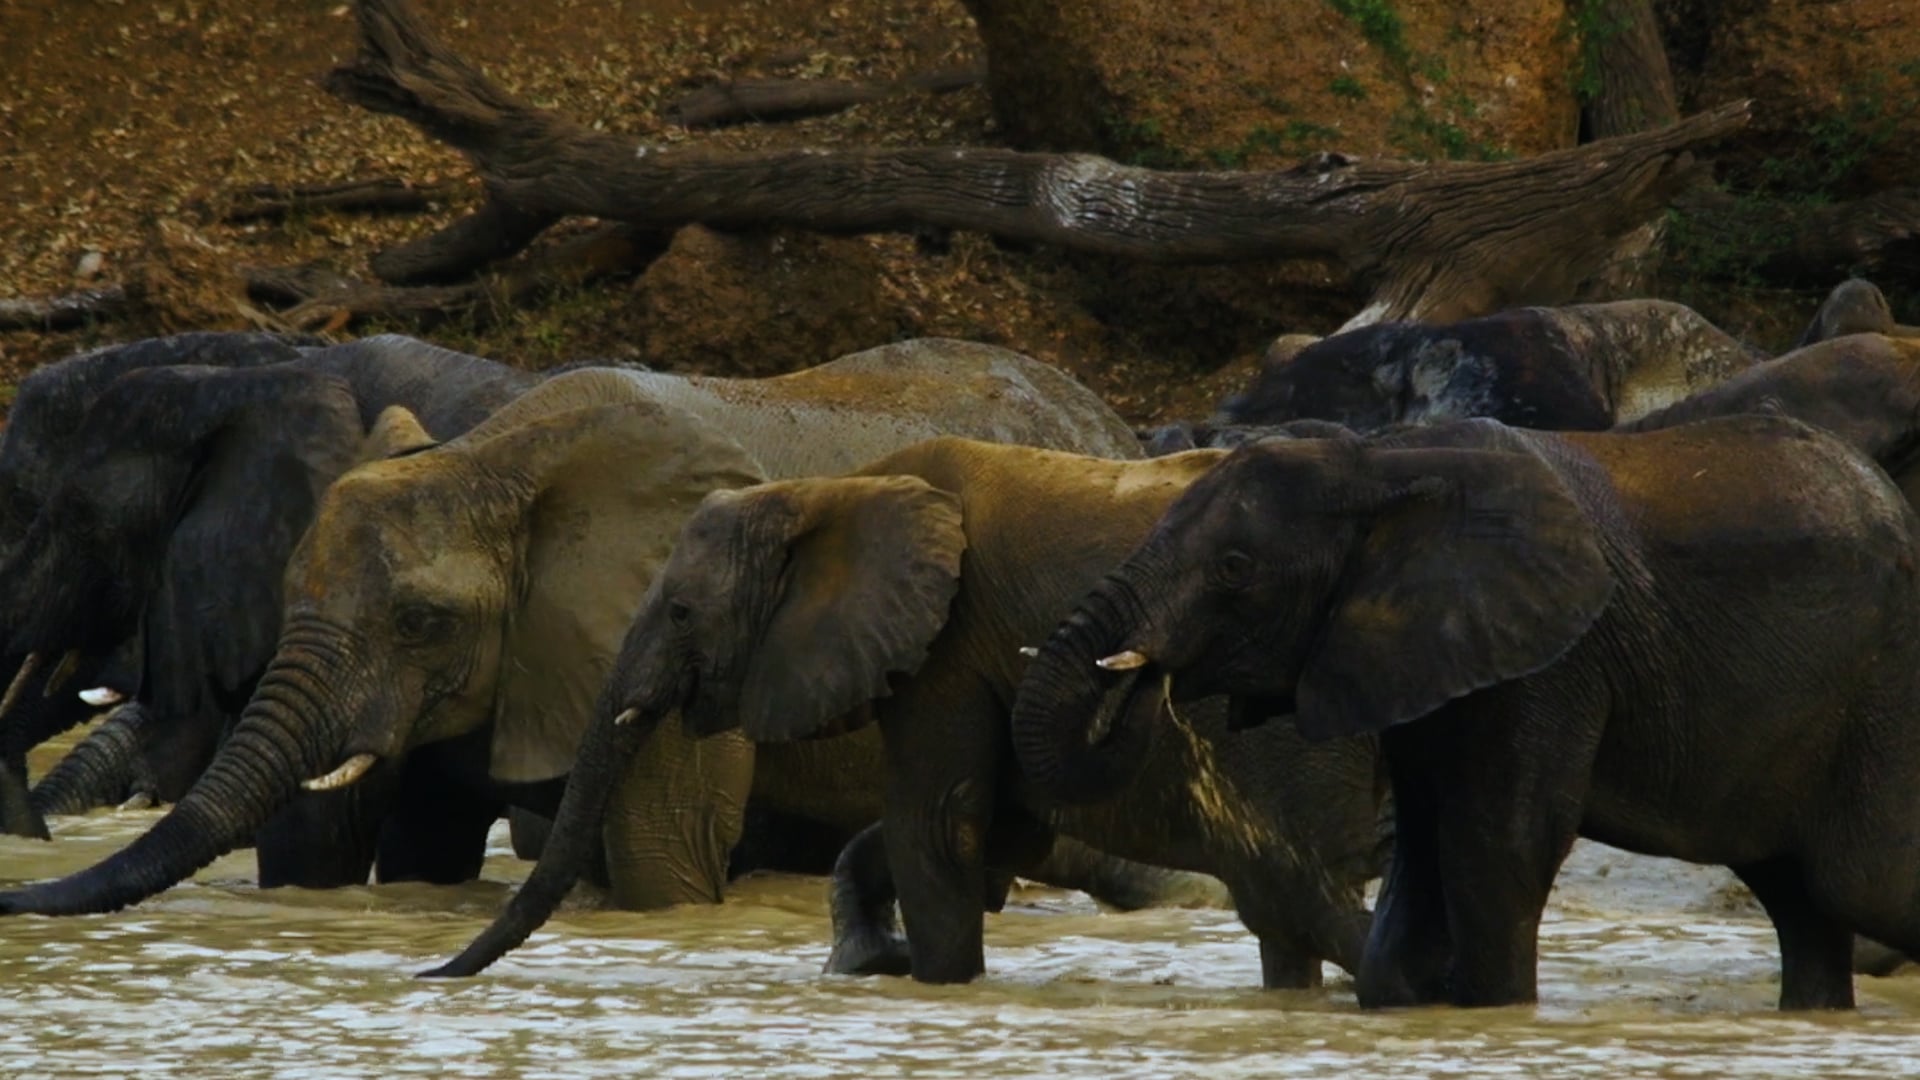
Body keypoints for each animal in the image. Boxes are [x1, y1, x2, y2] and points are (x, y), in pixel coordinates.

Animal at [428, 437, 1385, 986]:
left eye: (682, 613)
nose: (431, 975)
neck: (829, 490)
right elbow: (994, 827)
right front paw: (872, 962)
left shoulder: (948, 640)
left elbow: (941, 823)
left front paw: (933, 983)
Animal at [1013, 412, 1920, 1010]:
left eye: (1235, 568)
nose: (1147, 675)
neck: (1378, 460)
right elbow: (1426, 840)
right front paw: (1412, 998)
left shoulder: (1551, 658)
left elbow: (1499, 839)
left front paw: (1491, 1010)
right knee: (1801, 896)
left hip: (1879, 687)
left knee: (1859, 880)